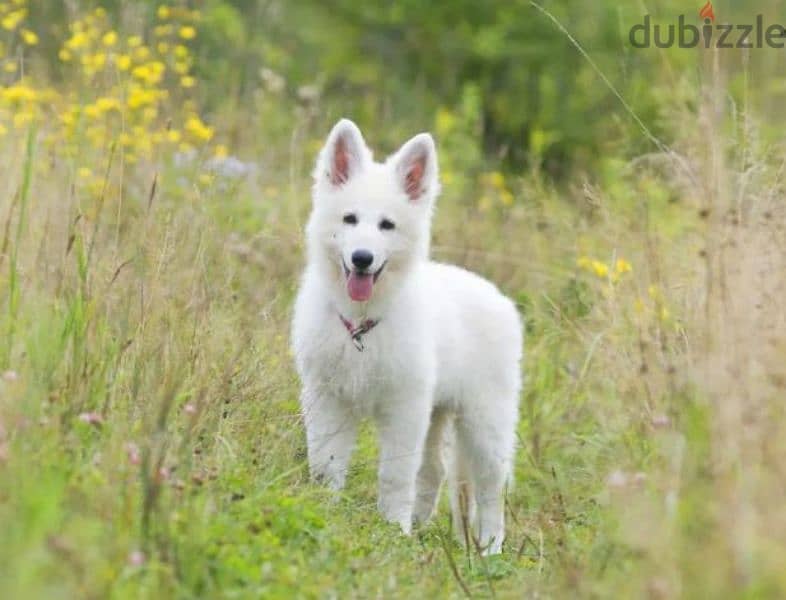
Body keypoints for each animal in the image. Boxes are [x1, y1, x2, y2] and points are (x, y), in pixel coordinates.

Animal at [290, 117, 520, 552]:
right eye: (349, 219)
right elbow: (326, 461)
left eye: (387, 225)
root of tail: (498, 296)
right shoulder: (328, 399)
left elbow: (395, 475)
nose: (362, 258)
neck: (362, 328)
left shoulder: (403, 408)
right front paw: (326, 508)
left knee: (490, 490)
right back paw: (427, 527)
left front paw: (392, 527)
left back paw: (489, 550)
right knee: (434, 470)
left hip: (484, 422)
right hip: (437, 413)